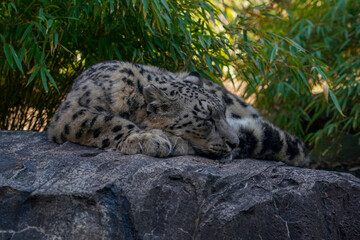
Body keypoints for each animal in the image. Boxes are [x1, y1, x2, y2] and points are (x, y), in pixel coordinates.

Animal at [47, 60, 310, 165]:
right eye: (206, 119)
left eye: (222, 114)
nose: (234, 142)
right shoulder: (69, 112)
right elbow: (103, 121)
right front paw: (148, 139)